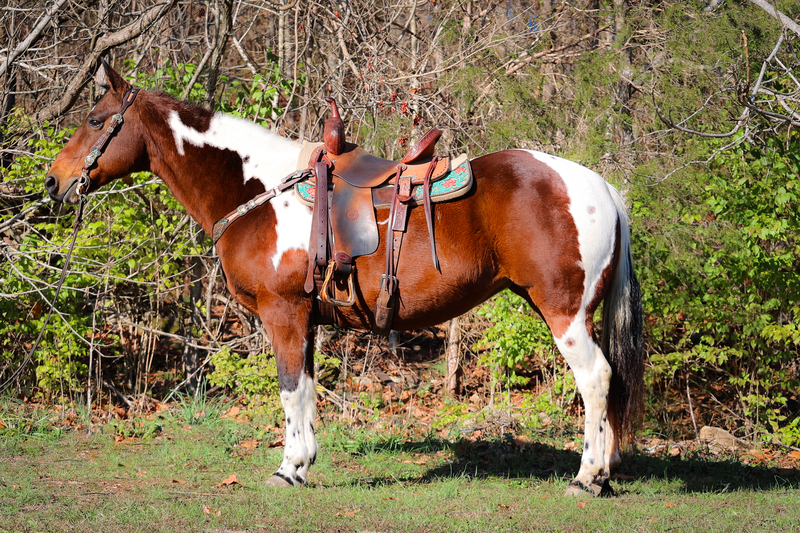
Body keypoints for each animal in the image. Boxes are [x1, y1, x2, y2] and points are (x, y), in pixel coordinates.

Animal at [45, 61, 644, 494]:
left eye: (95, 119)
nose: (54, 182)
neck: (257, 190)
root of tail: (601, 187)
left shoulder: (283, 313)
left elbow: (289, 390)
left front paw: (287, 469)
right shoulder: (304, 318)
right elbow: (306, 390)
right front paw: (303, 463)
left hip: (564, 312)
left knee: (595, 379)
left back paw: (586, 477)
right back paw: (605, 474)